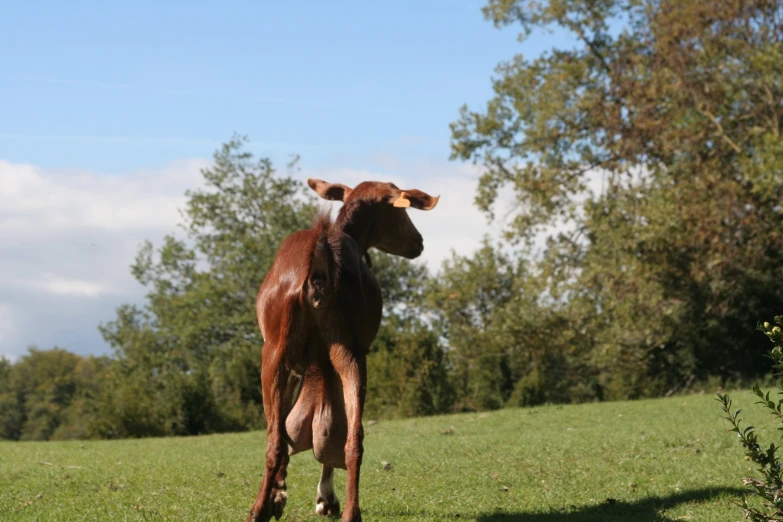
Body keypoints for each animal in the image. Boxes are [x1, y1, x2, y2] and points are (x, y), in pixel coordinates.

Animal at [247, 177, 440, 516]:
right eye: (401, 213)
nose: (418, 242)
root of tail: (319, 264)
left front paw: (287, 494)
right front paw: (312, 495)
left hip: (277, 349)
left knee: (277, 440)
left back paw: (260, 509)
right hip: (348, 350)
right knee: (352, 437)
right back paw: (350, 511)